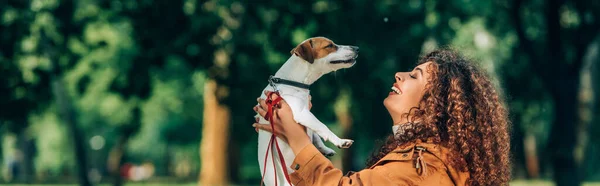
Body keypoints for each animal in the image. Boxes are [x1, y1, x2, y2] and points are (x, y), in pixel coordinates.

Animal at [256, 36, 358, 186]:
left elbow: (316, 135)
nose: (357, 48)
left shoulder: (308, 113)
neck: (292, 82)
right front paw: (340, 141)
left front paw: (325, 148)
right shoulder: (302, 113)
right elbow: (322, 126)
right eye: (329, 46)